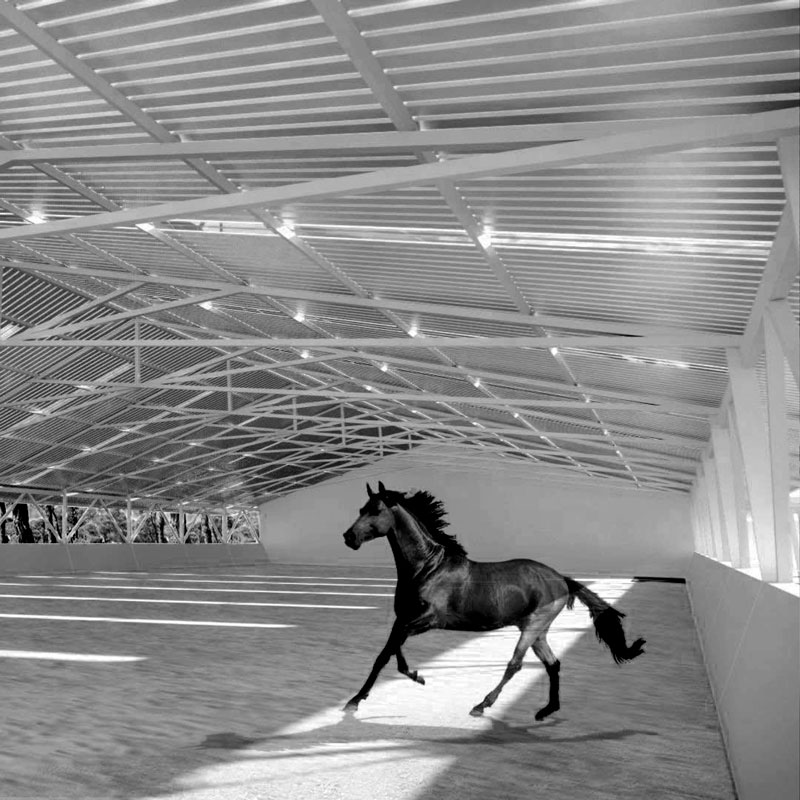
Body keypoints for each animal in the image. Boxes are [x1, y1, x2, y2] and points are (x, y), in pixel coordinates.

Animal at [341, 482, 646, 720]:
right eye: (361, 509)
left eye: (376, 510)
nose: (348, 537)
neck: (427, 568)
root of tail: (561, 579)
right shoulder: (402, 619)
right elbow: (387, 653)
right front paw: (362, 697)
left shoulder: (427, 619)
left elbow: (391, 653)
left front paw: (406, 680)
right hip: (537, 631)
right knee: (553, 664)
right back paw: (546, 710)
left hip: (533, 626)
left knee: (515, 664)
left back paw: (482, 705)